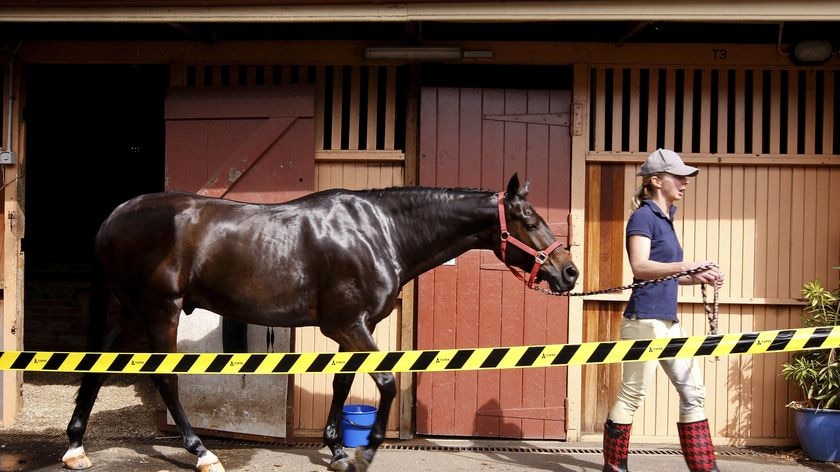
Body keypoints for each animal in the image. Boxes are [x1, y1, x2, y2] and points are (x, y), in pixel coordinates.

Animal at [64, 173, 576, 472]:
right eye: (530, 220)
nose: (568, 272)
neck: (380, 232)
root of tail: (115, 217)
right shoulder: (349, 325)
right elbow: (386, 381)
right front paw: (364, 452)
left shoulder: (351, 329)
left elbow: (343, 383)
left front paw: (336, 450)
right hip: (160, 310)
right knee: (166, 378)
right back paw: (202, 452)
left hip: (134, 311)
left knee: (98, 364)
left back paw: (75, 446)